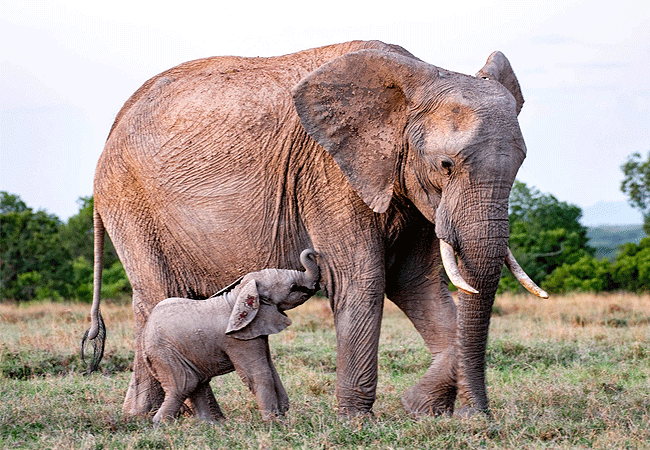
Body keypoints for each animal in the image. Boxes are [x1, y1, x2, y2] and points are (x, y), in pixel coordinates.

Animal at [141, 248, 319, 424]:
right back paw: (160, 425)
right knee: (184, 384)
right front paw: (274, 423)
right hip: (165, 353)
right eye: (293, 287)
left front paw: (281, 414)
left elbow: (271, 368)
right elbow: (259, 374)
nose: (316, 253)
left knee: (197, 382)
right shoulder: (236, 339)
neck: (241, 294)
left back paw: (209, 426)